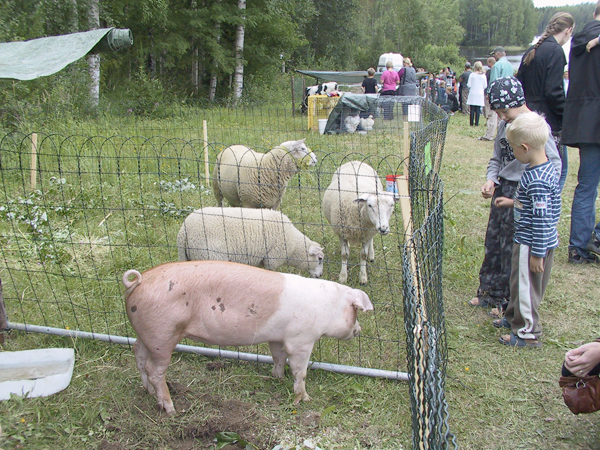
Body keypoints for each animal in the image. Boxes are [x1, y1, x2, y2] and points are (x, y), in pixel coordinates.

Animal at [122, 260, 373, 415]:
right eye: (355, 312)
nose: (359, 329)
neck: (327, 307)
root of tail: (138, 282)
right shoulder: (301, 339)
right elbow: (299, 370)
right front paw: (305, 398)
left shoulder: (277, 337)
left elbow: (278, 357)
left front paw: (277, 378)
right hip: (162, 334)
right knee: (155, 370)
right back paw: (171, 408)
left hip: (146, 335)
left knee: (138, 355)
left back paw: (147, 391)